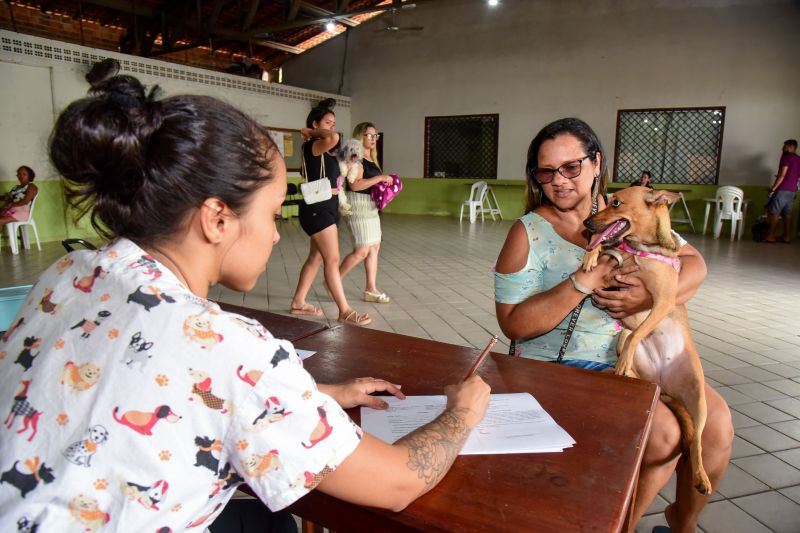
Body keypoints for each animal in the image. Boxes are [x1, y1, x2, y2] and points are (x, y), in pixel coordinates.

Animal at [584, 187, 708, 494]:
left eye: (617, 203)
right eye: (608, 200)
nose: (586, 225)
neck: (642, 248)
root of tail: (662, 384)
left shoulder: (663, 302)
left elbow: (640, 332)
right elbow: (603, 247)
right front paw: (589, 256)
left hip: (699, 399)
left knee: (698, 441)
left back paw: (701, 477)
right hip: (624, 343)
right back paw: (622, 371)